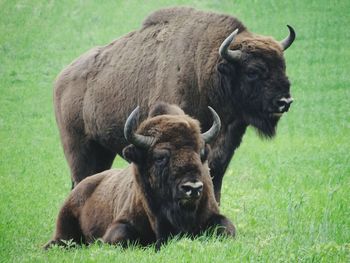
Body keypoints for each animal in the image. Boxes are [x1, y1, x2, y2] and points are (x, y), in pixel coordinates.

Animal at [44, 103, 235, 252]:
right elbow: (120, 236)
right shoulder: (121, 223)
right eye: (160, 157)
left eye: (200, 154)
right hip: (64, 225)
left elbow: (227, 229)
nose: (193, 188)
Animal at [54, 6, 296, 202]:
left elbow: (214, 177)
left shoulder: (223, 147)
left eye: (283, 66)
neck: (206, 71)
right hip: (79, 148)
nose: (284, 102)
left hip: (102, 149)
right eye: (253, 71)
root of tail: (61, 79)